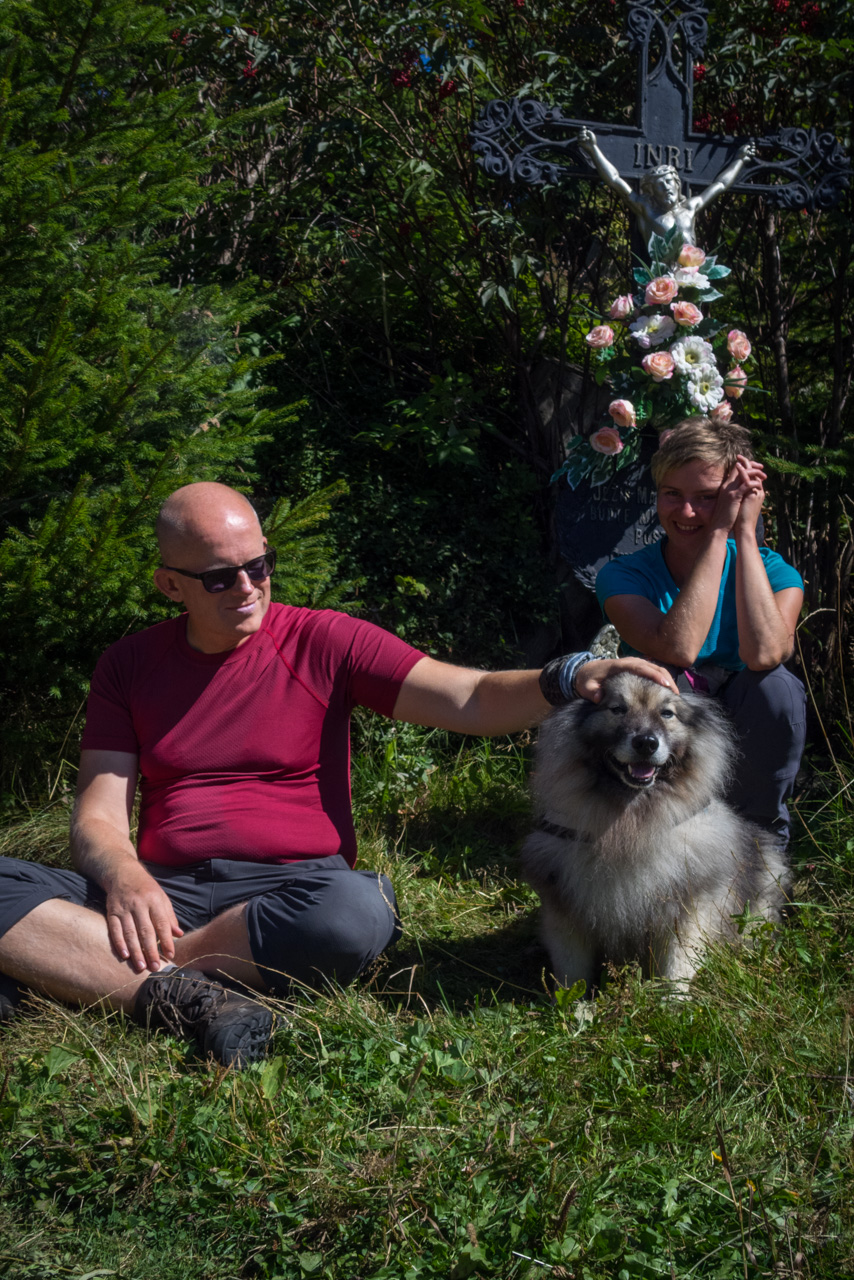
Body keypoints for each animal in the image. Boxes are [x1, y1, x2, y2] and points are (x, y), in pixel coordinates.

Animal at [517, 670, 793, 988]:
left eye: (667, 713)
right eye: (617, 709)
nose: (646, 742)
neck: (630, 819)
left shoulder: (687, 908)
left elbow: (677, 965)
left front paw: (673, 998)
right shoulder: (565, 912)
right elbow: (571, 972)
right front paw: (570, 1000)